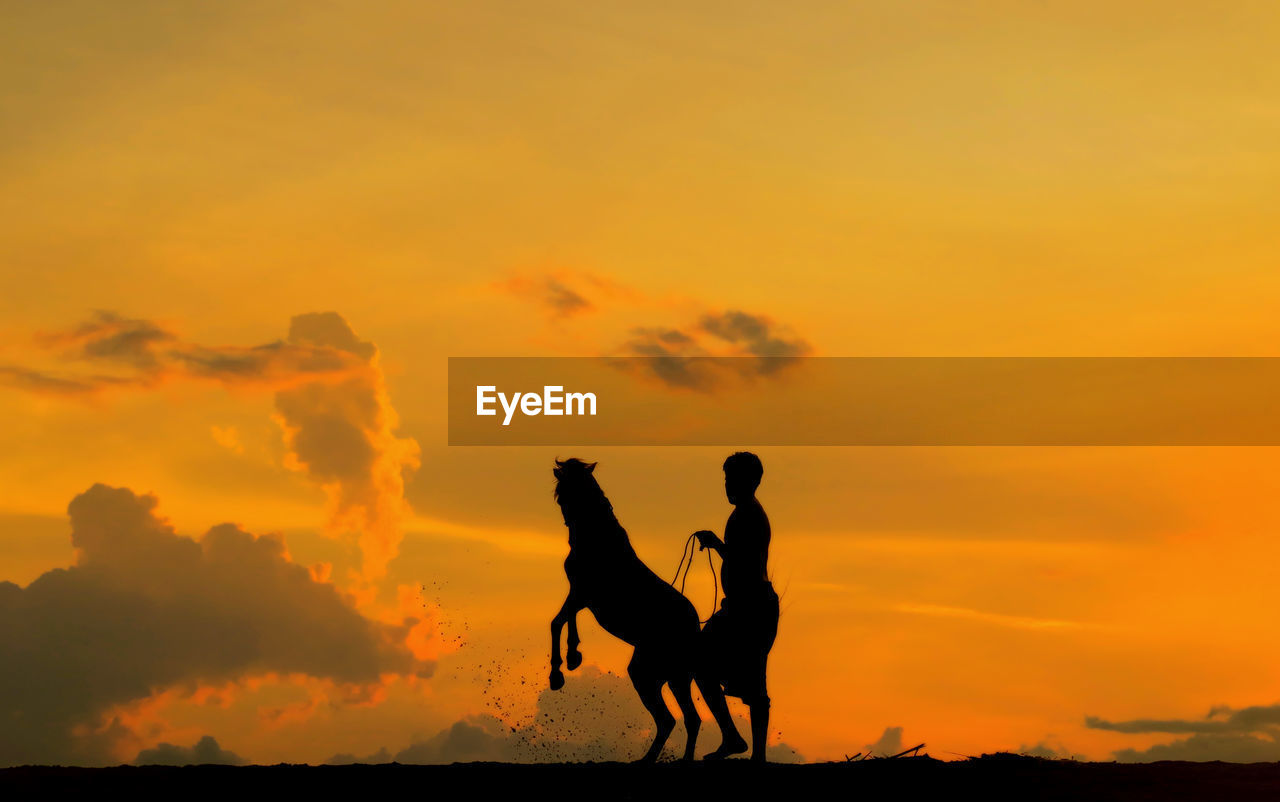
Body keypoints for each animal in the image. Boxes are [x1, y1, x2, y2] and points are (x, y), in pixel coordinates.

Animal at [547, 460, 706, 762]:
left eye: (564, 493)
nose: (569, 522)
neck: (598, 539)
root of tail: (695, 630)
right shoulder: (580, 595)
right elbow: (563, 620)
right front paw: (571, 658)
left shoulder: (583, 593)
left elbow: (558, 621)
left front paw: (561, 670)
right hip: (674, 677)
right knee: (688, 719)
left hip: (650, 673)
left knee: (670, 719)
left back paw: (652, 760)